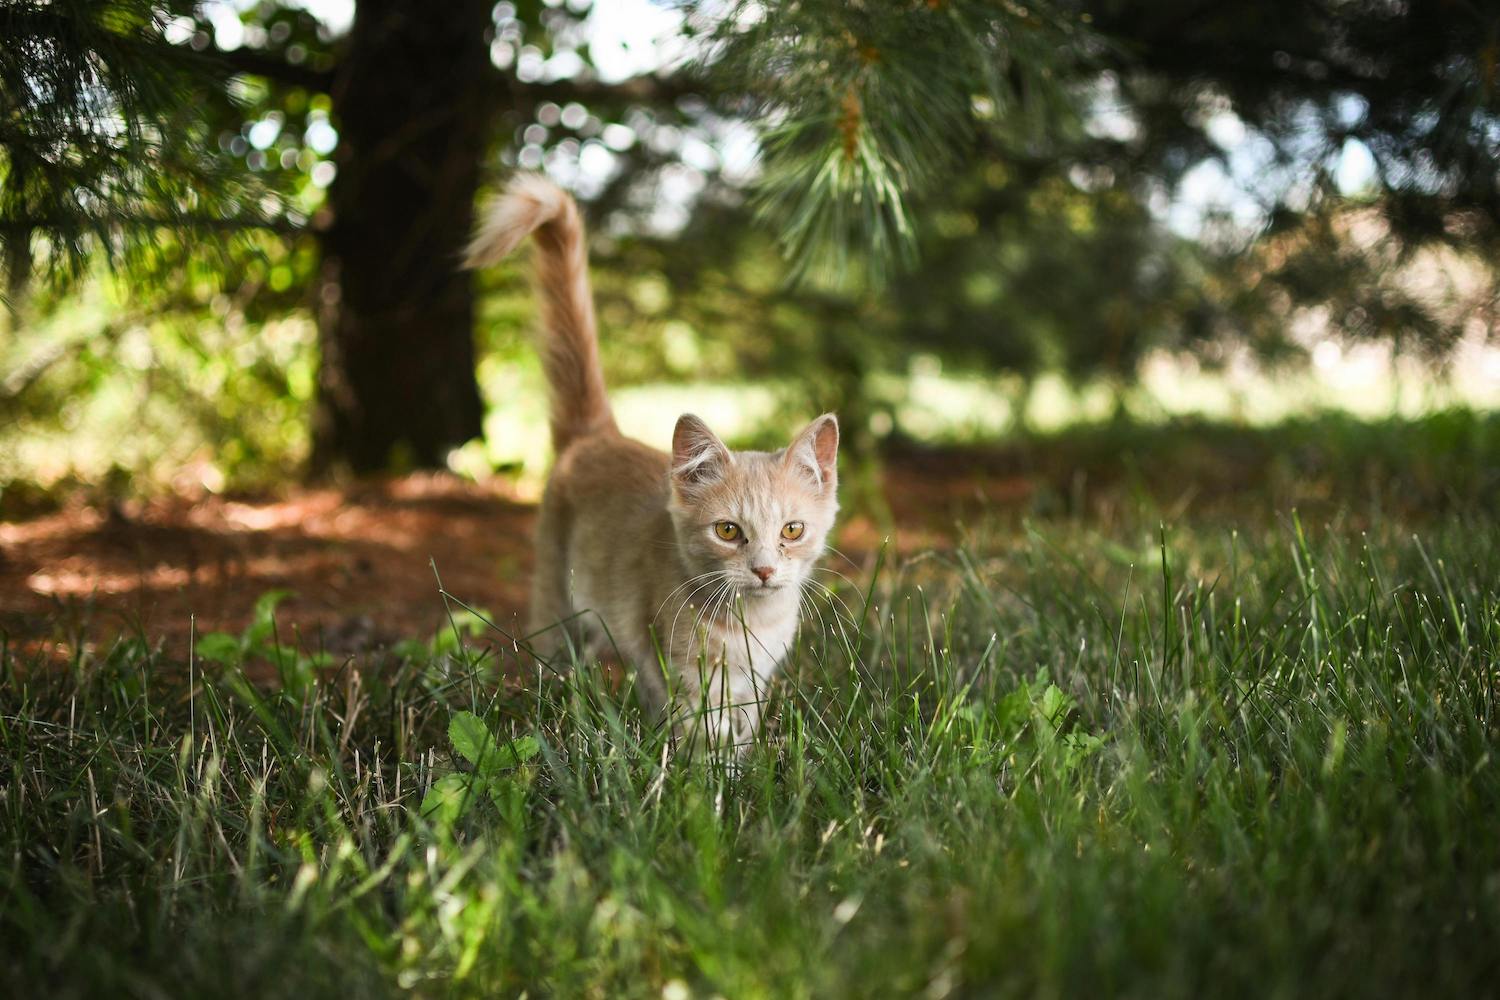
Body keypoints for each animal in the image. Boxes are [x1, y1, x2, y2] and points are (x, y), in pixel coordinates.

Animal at [465, 176, 846, 755]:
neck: (751, 625)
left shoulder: (753, 682)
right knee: (554, 666)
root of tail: (599, 435)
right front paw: (712, 776)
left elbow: (742, 733)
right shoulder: (687, 673)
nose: (763, 569)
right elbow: (703, 739)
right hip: (558, 605)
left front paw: (745, 768)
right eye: (728, 530)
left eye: (792, 530)